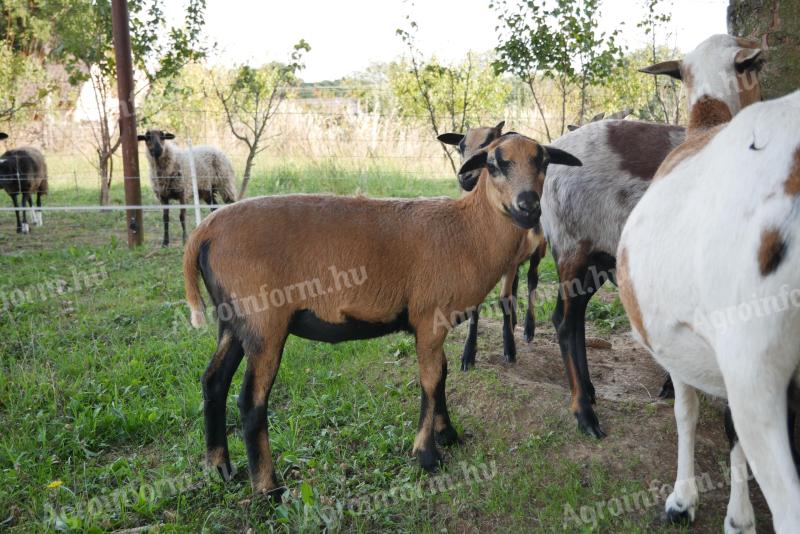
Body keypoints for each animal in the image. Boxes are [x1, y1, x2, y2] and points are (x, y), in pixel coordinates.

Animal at [438, 123, 552, 370]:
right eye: (460, 146)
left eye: (488, 143)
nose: (465, 177)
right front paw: (468, 355)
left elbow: (504, 300)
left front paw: (509, 349)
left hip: (539, 250)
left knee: (532, 281)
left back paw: (528, 329)